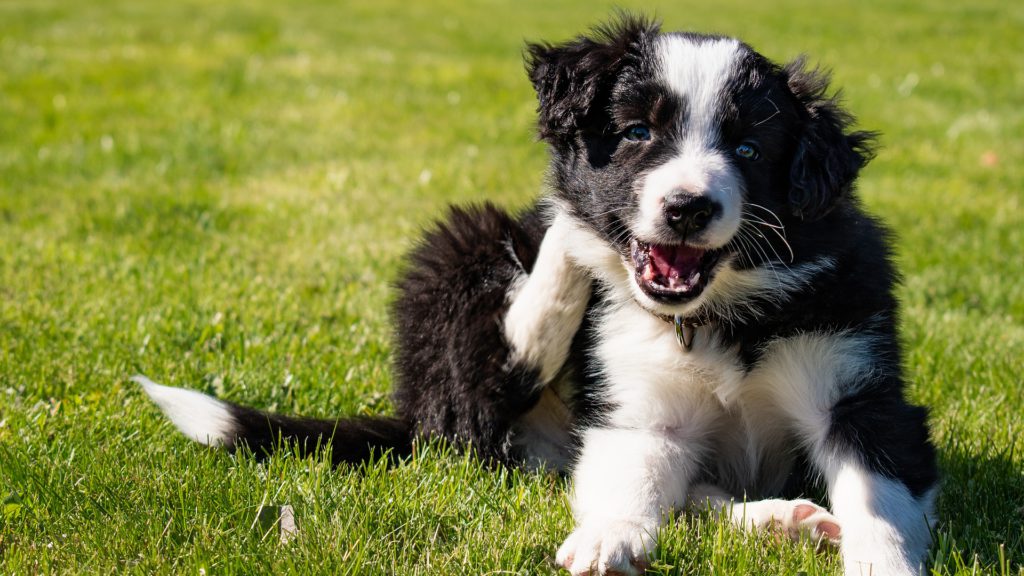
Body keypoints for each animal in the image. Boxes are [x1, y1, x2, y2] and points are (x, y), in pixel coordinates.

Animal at [140, 15, 937, 573]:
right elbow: (632, 476)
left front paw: (880, 561)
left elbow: (879, 495)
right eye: (637, 132)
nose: (688, 208)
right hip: (459, 252)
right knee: (500, 376)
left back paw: (785, 520)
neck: (713, 314)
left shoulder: (857, 387)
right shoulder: (637, 404)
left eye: (748, 149)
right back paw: (567, 242)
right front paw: (610, 538)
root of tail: (413, 414)